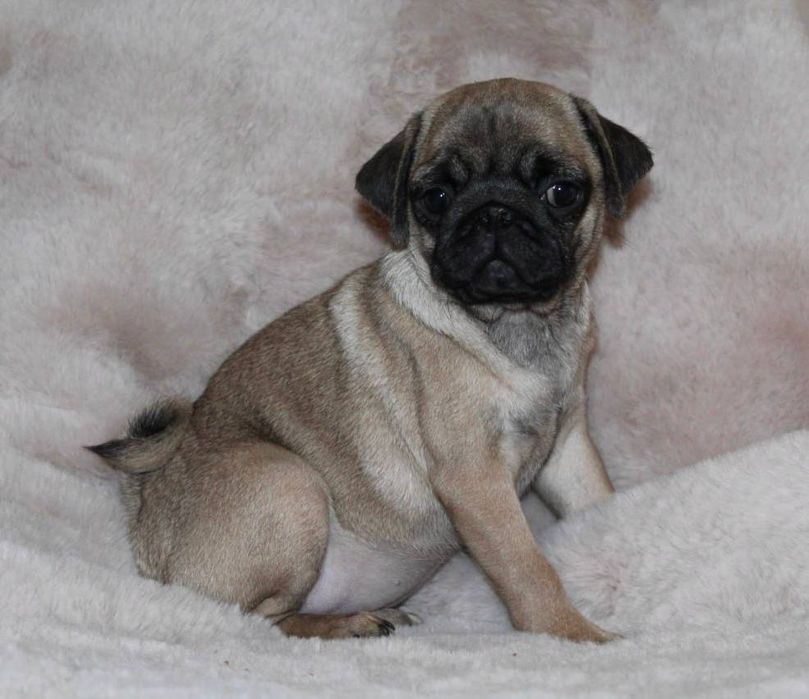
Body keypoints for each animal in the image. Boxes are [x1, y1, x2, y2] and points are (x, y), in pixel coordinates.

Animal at [89, 78, 652, 642]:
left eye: (561, 191)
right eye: (435, 198)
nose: (494, 211)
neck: (518, 322)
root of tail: (144, 511)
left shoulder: (568, 447)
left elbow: (597, 503)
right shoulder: (474, 477)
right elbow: (526, 567)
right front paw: (571, 634)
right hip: (289, 485)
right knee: (258, 620)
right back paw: (351, 624)